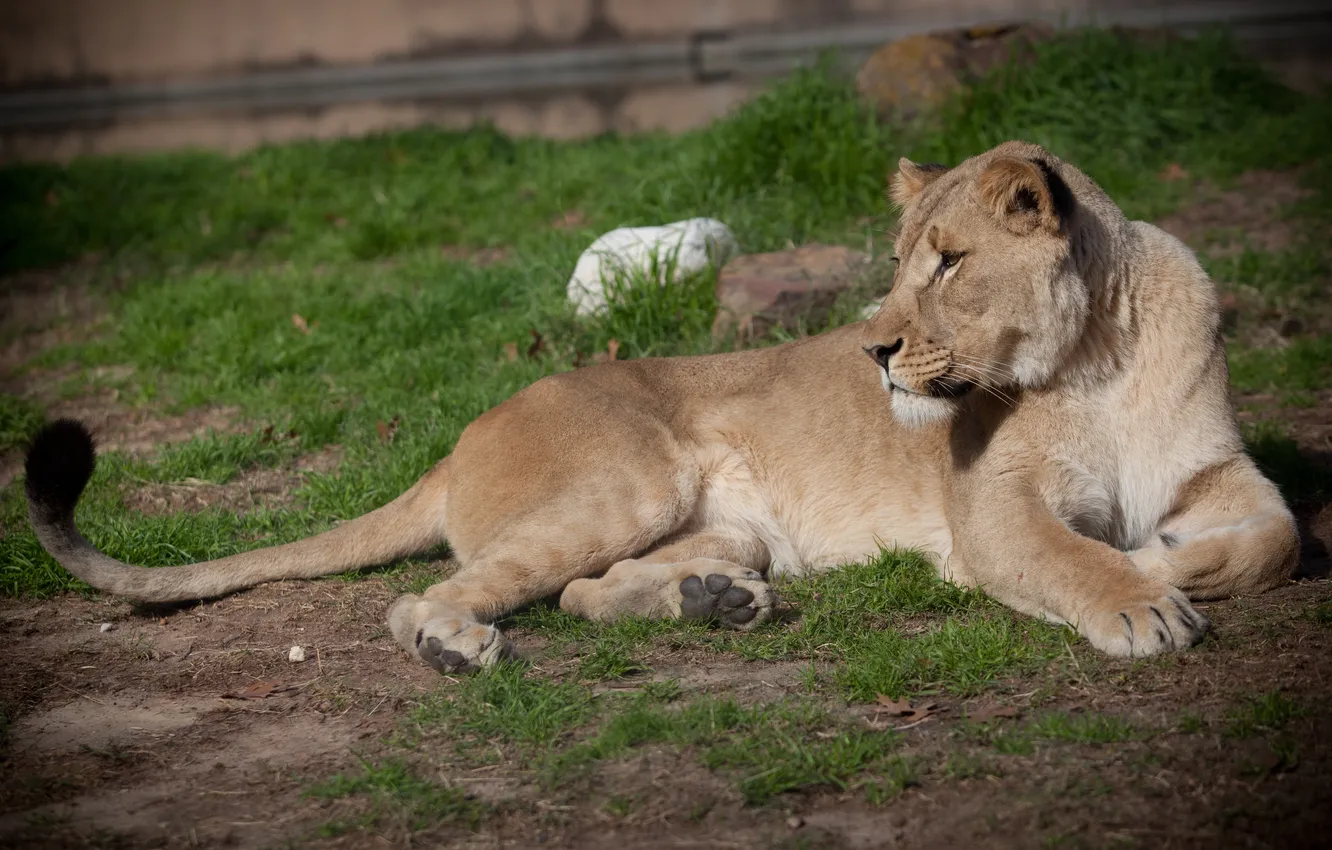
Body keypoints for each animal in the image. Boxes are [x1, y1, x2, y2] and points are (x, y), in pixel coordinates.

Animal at [25, 140, 1299, 673]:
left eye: (946, 261)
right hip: (626, 476)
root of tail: (460, 437)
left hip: (716, 521)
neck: (1092, 360)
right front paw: (1139, 601)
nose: (877, 347)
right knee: (426, 597)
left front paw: (1166, 564)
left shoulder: (1217, 473)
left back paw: (711, 601)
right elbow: (1067, 553)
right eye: (896, 261)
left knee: (579, 590)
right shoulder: (993, 509)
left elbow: (1280, 536)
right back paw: (454, 645)